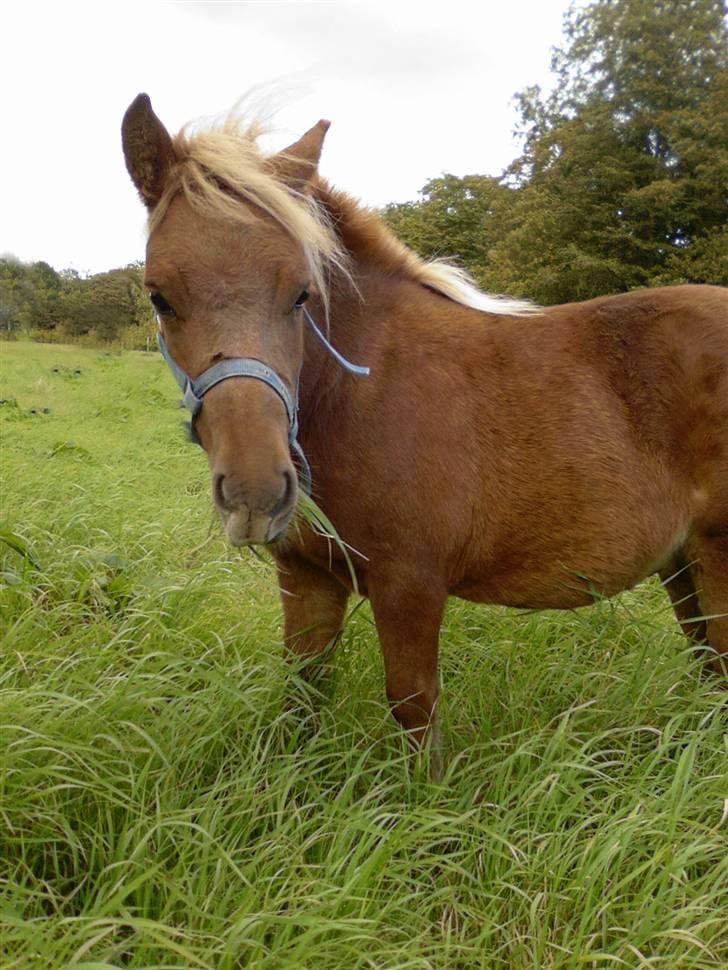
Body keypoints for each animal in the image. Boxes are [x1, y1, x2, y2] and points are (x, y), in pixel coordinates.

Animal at [122, 94, 728, 768]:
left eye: (301, 294)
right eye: (160, 297)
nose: (257, 494)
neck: (360, 393)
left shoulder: (410, 587)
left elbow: (415, 713)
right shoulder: (307, 580)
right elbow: (301, 696)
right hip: (681, 566)